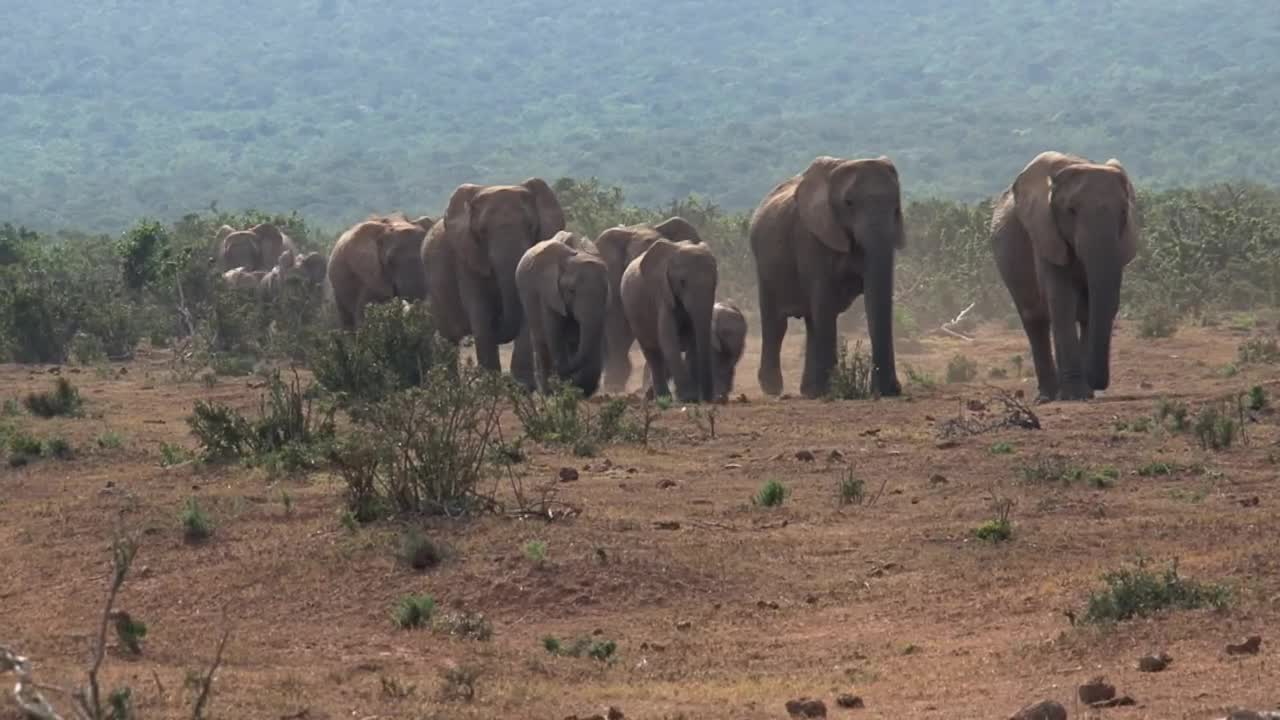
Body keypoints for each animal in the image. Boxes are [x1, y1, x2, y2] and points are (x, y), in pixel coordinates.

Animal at [422, 178, 565, 385]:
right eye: (482, 231)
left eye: (530, 226)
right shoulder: (466, 259)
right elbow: (479, 311)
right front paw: (491, 384)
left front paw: (522, 386)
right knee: (448, 339)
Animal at [514, 231, 611, 396]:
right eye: (571, 291)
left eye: (606, 291)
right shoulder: (548, 293)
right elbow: (554, 335)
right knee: (542, 344)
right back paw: (547, 393)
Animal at [620, 239, 718, 403]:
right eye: (682, 282)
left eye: (715, 283)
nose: (708, 398)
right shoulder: (662, 294)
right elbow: (669, 340)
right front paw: (689, 398)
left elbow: (694, 341)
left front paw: (693, 397)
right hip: (633, 312)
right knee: (652, 353)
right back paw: (662, 398)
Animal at [749, 156, 905, 399]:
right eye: (849, 203)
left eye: (896, 206)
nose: (892, 390)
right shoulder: (811, 237)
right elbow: (824, 301)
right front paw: (834, 390)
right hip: (763, 265)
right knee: (776, 323)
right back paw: (774, 389)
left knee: (811, 321)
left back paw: (809, 391)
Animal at [991, 151, 1139, 402]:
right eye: (1071, 210)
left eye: (1122, 212)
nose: (1097, 382)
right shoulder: (1045, 233)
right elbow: (1062, 299)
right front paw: (1075, 396)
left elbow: (1096, 305)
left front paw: (1083, 393)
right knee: (1035, 320)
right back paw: (1048, 396)